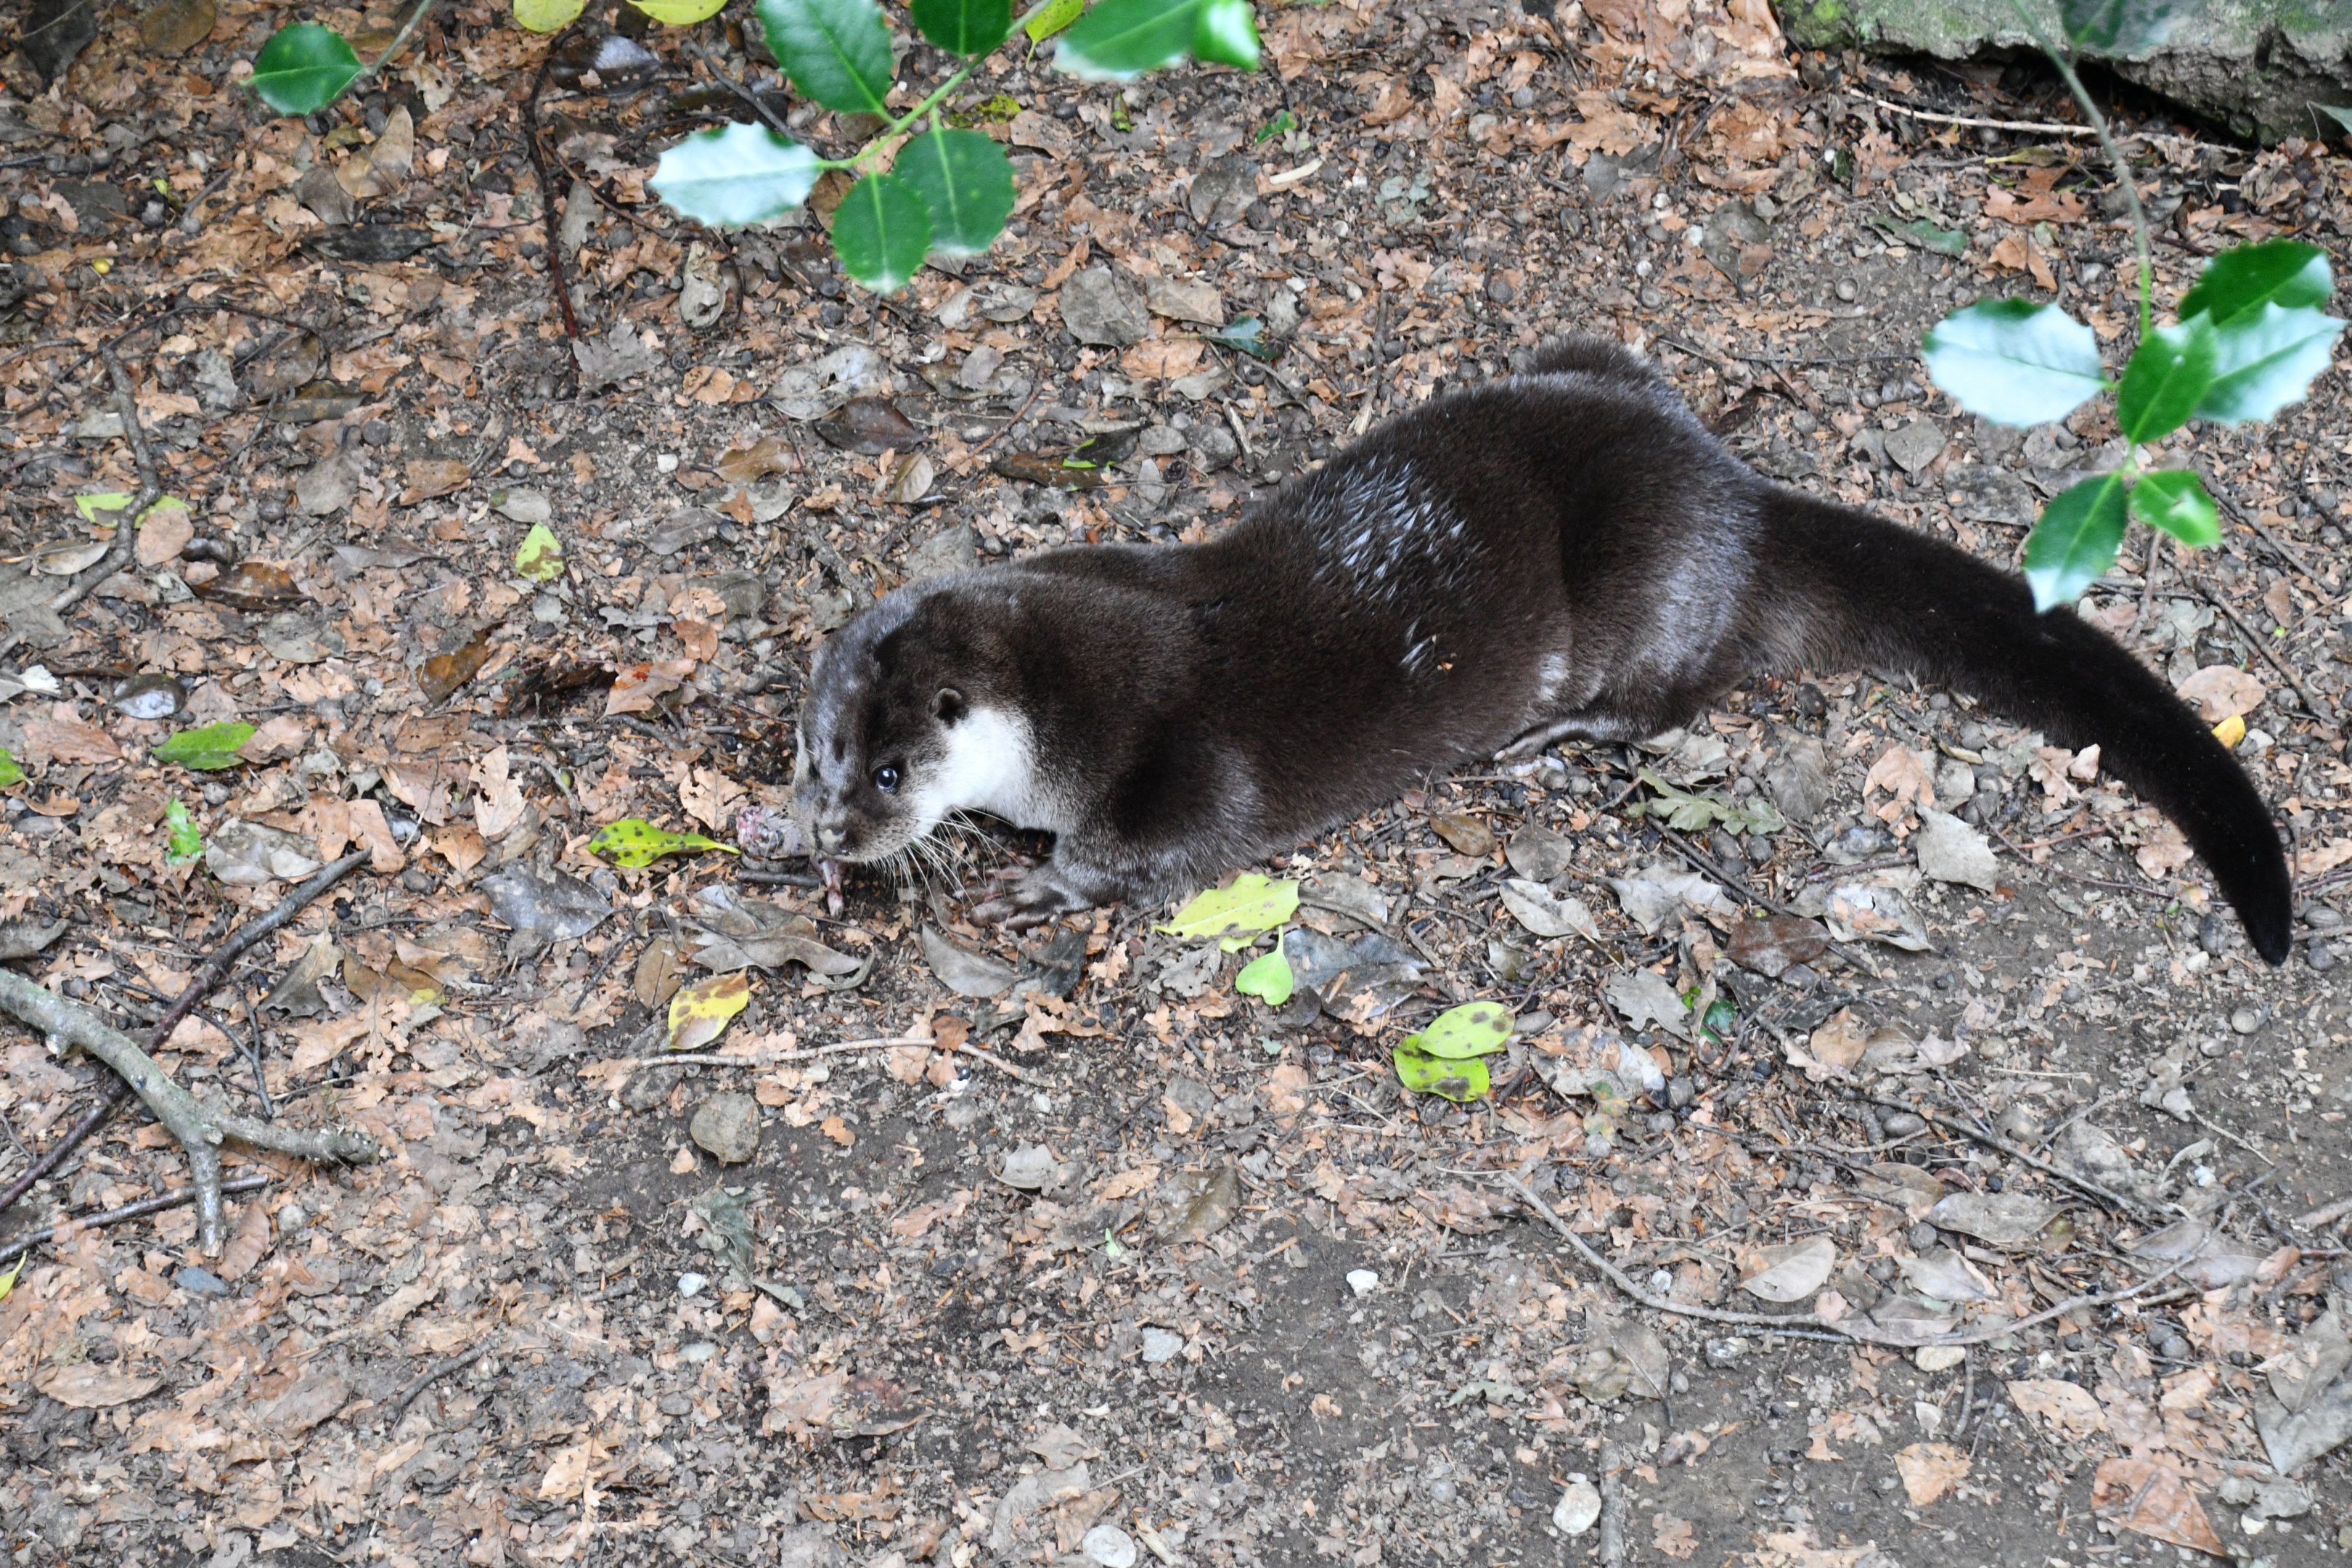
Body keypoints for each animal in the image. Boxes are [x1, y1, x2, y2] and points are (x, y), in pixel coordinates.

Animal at [792, 337, 2292, 962]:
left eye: (890, 774)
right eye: (818, 757)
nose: (825, 834)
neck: (1064, 699)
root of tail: (1740, 495)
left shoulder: (1175, 750)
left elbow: (1166, 844)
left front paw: (1040, 887)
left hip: (1645, 571)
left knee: (1673, 696)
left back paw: (1553, 735)